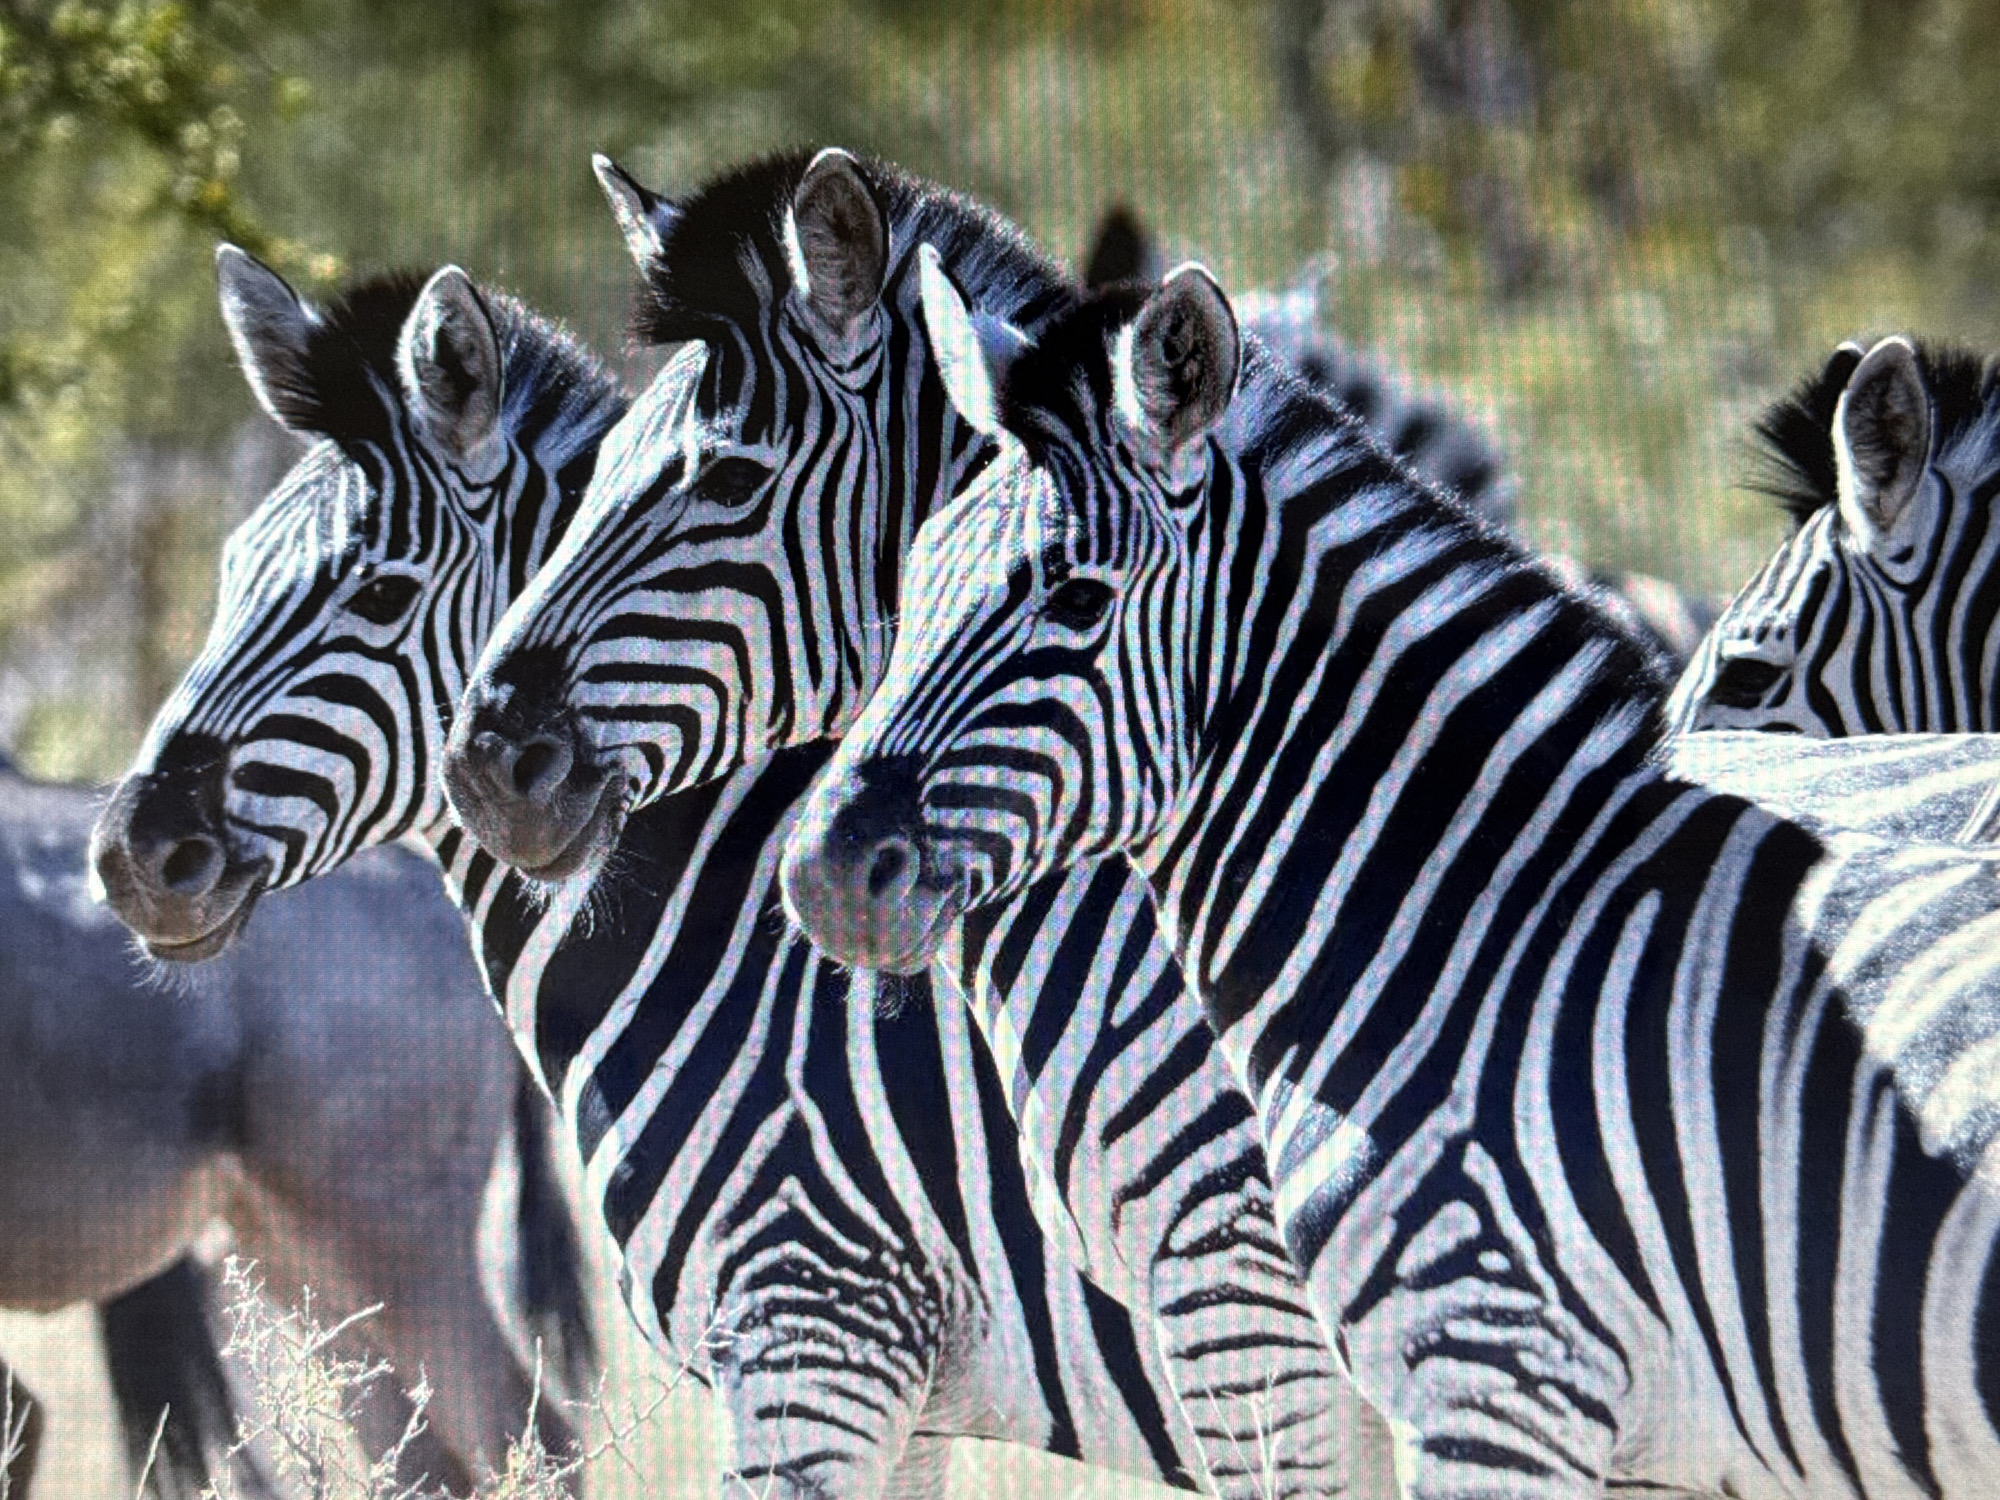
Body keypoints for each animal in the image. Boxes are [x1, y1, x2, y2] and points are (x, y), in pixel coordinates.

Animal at [85, 244, 1377, 1498]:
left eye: (379, 592)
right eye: (231, 573)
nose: (133, 856)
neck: (737, 954)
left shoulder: (817, 1330)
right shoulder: (907, 1393)